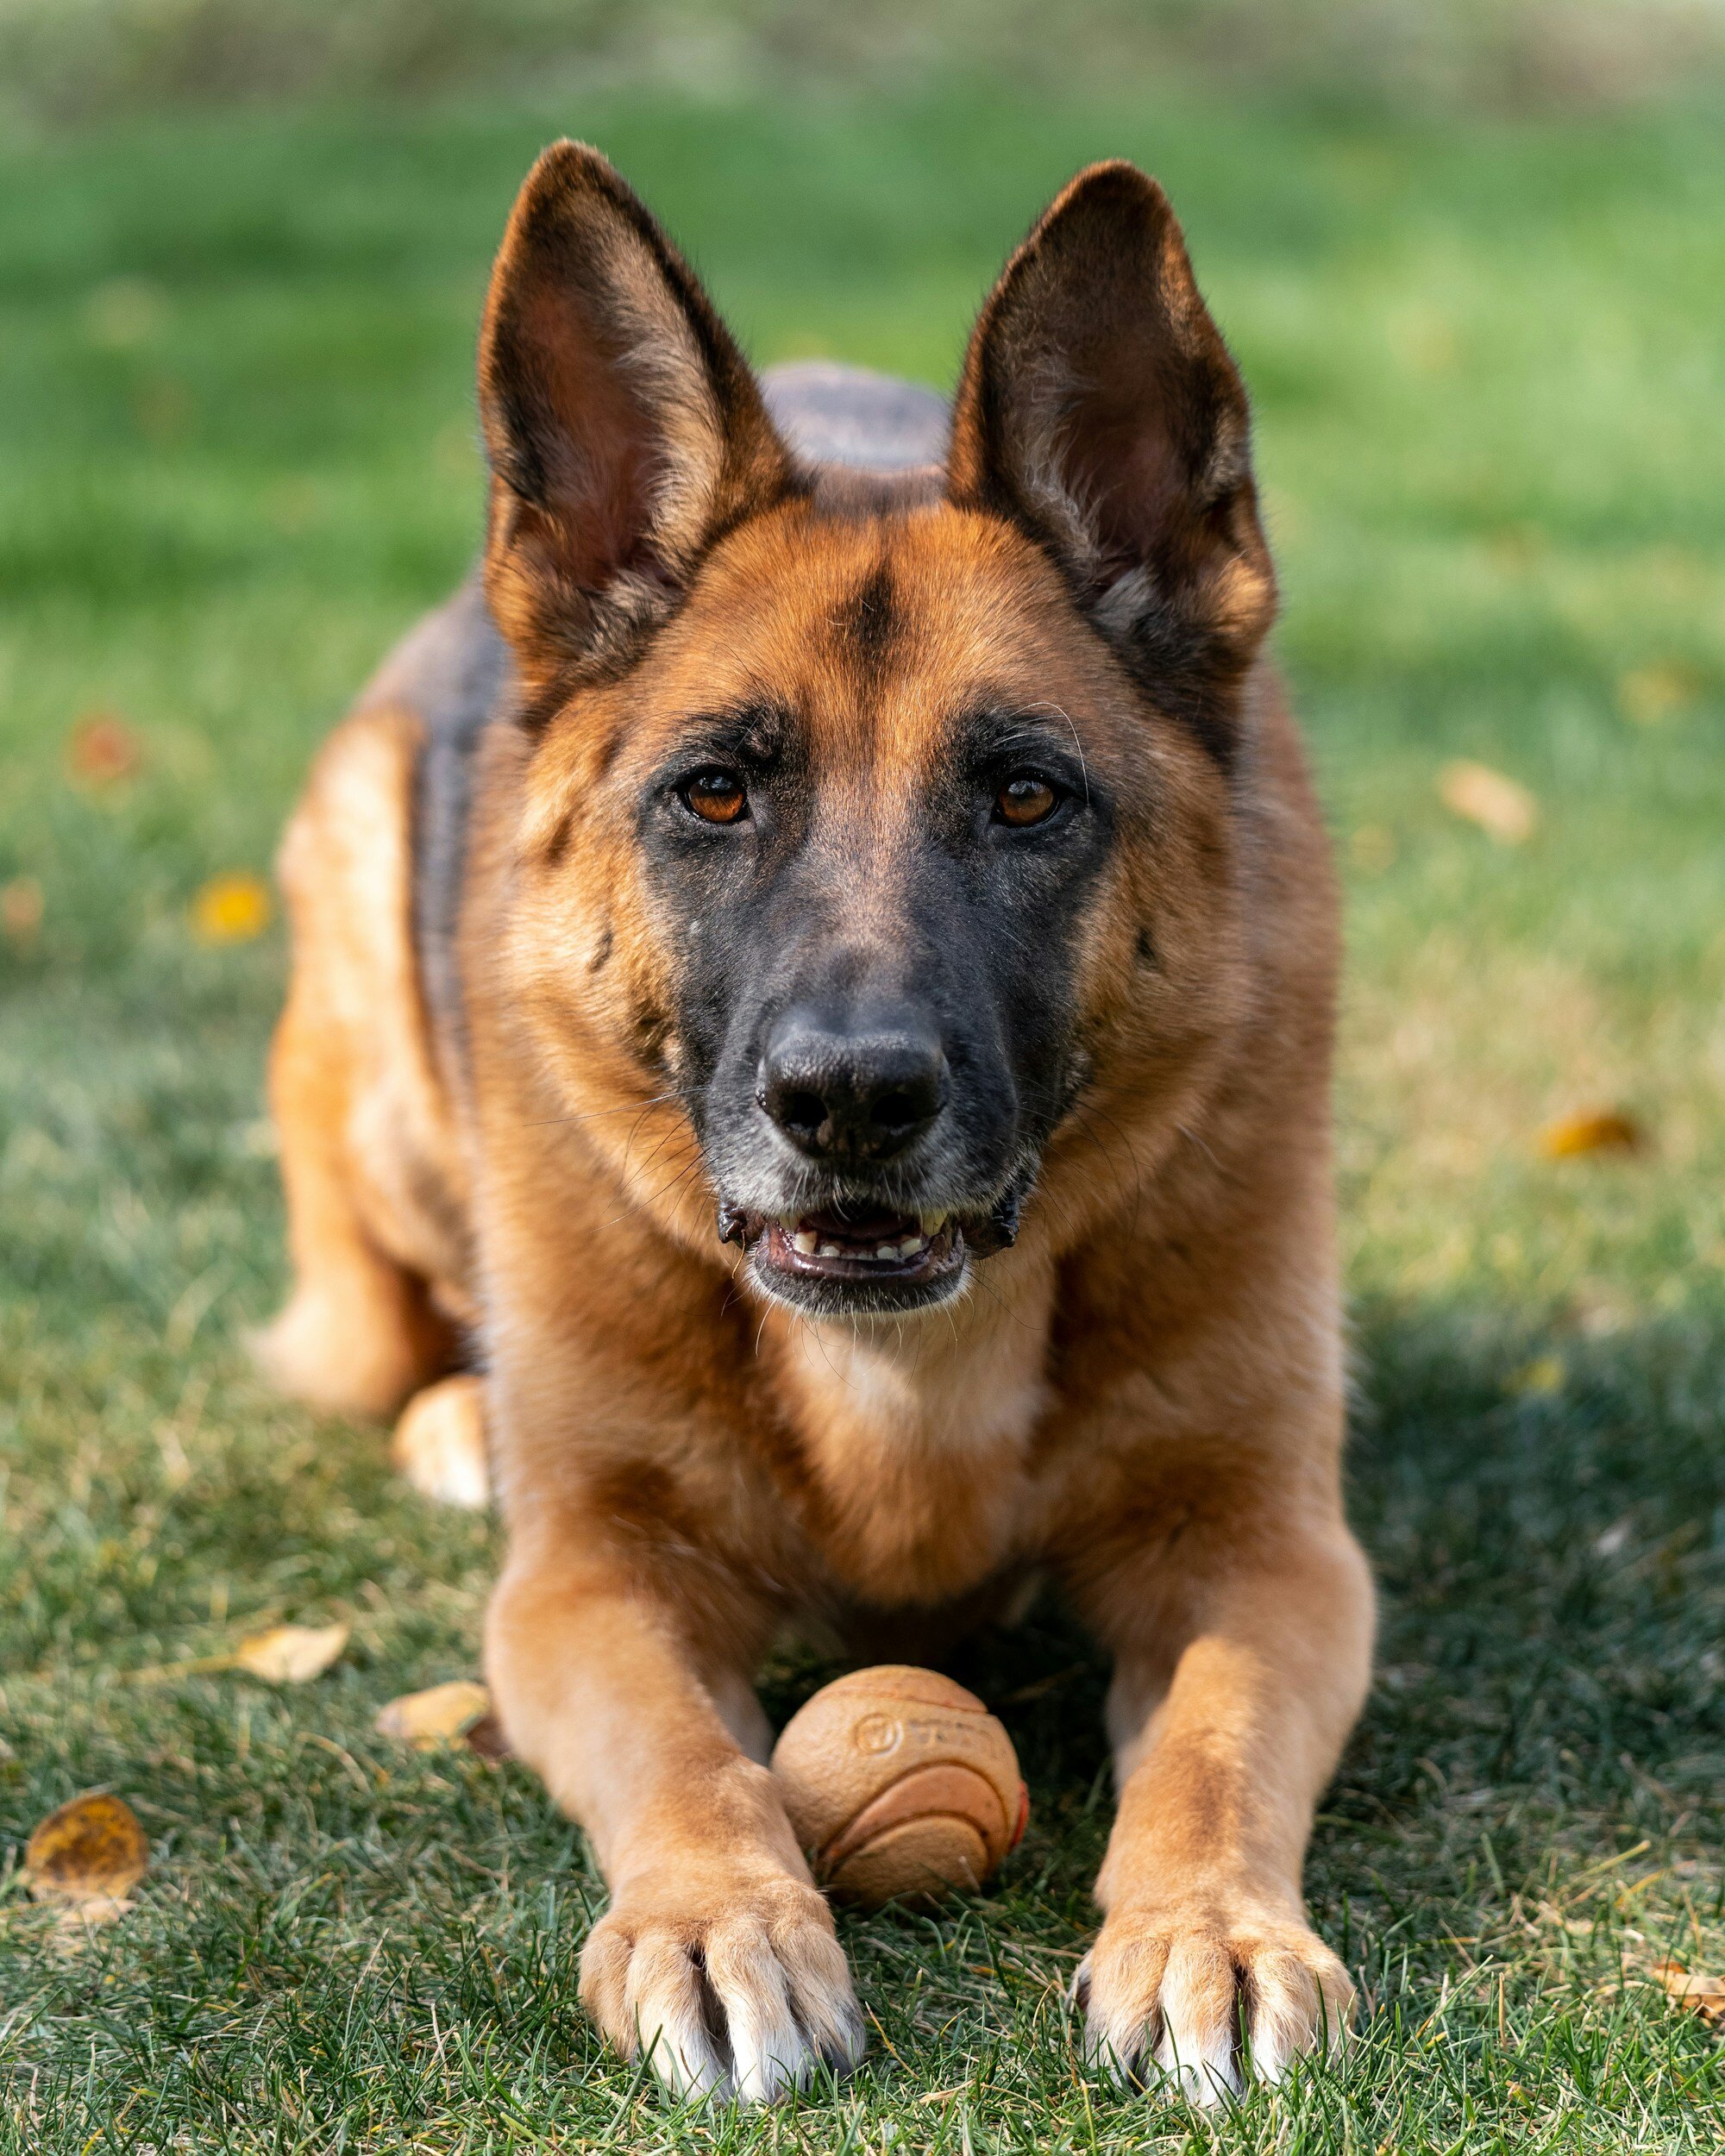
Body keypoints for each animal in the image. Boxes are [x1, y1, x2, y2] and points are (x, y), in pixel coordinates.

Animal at [263, 147, 1371, 2104]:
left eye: (1027, 797)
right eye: (714, 791)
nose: (848, 1099)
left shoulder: (1266, 1550)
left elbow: (1218, 1738)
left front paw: (1214, 1932)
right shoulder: (589, 1583)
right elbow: (682, 1753)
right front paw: (719, 1920)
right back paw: (460, 1415)